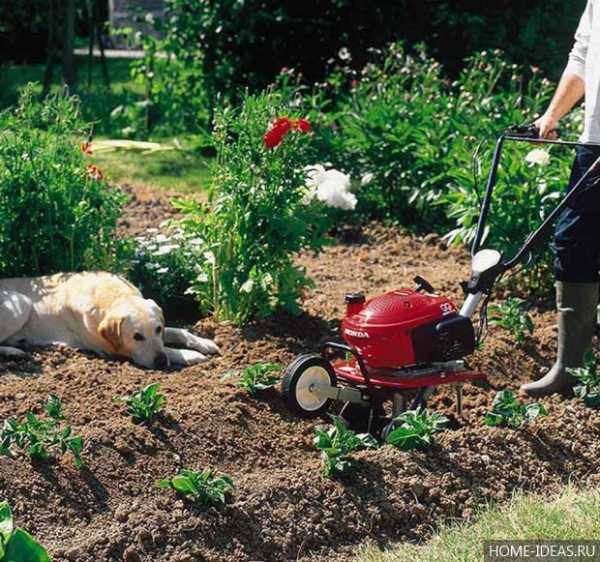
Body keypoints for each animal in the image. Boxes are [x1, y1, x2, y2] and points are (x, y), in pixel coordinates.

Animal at [0, 272, 220, 368]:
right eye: (137, 337)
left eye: (158, 329)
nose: (160, 362)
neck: (113, 295)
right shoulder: (114, 349)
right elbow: (167, 348)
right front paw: (188, 354)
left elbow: (178, 331)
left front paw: (203, 342)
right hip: (22, 303)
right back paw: (14, 352)